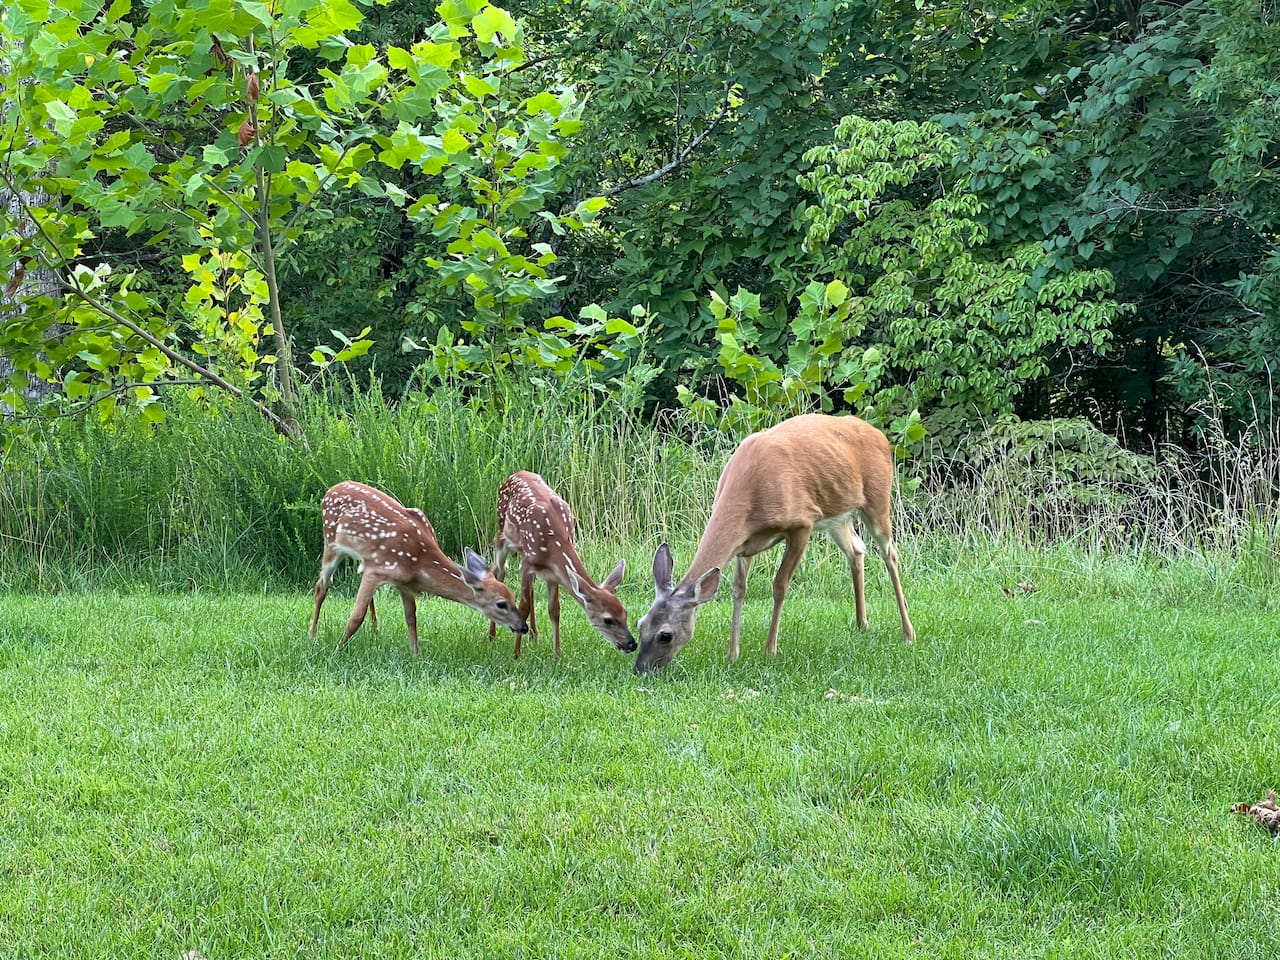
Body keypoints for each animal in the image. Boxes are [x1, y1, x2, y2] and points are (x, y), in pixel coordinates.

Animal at [309, 480, 528, 654]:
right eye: (501, 604)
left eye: (513, 596)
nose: (523, 627)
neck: (418, 561)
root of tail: (331, 490)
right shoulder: (377, 569)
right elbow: (356, 616)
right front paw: (338, 649)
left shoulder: (404, 584)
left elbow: (411, 617)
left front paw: (416, 654)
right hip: (331, 541)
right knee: (321, 586)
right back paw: (312, 634)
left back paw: (375, 631)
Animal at [489, 471, 636, 659]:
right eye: (608, 619)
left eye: (625, 613)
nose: (632, 644)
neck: (554, 543)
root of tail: (517, 473)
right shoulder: (528, 563)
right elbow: (523, 608)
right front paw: (515, 654)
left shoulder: (553, 573)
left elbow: (554, 610)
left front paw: (558, 654)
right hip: (502, 536)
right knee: (499, 571)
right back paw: (492, 635)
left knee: (530, 587)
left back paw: (534, 634)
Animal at [633, 413, 914, 675]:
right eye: (640, 624)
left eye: (665, 635)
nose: (639, 669)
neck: (750, 491)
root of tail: (879, 435)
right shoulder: (744, 544)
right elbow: (738, 589)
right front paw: (732, 653)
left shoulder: (802, 523)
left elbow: (780, 585)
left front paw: (770, 650)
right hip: (836, 517)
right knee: (856, 550)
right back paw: (861, 624)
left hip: (878, 499)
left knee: (890, 554)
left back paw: (908, 632)